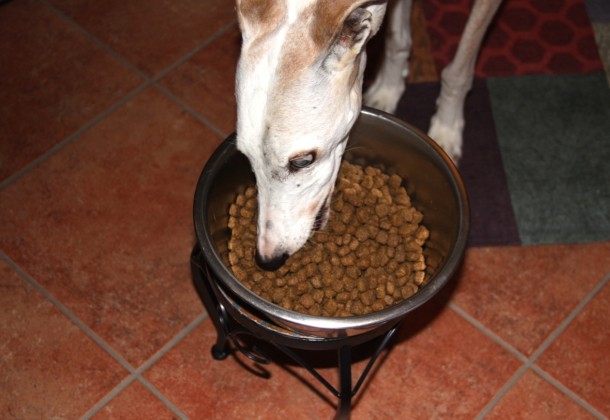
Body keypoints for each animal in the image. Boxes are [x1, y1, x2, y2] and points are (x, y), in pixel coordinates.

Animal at [233, 0, 498, 270]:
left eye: (302, 161)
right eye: (246, 157)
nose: (267, 259)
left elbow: (458, 73)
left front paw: (447, 128)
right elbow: (397, 39)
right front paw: (388, 90)